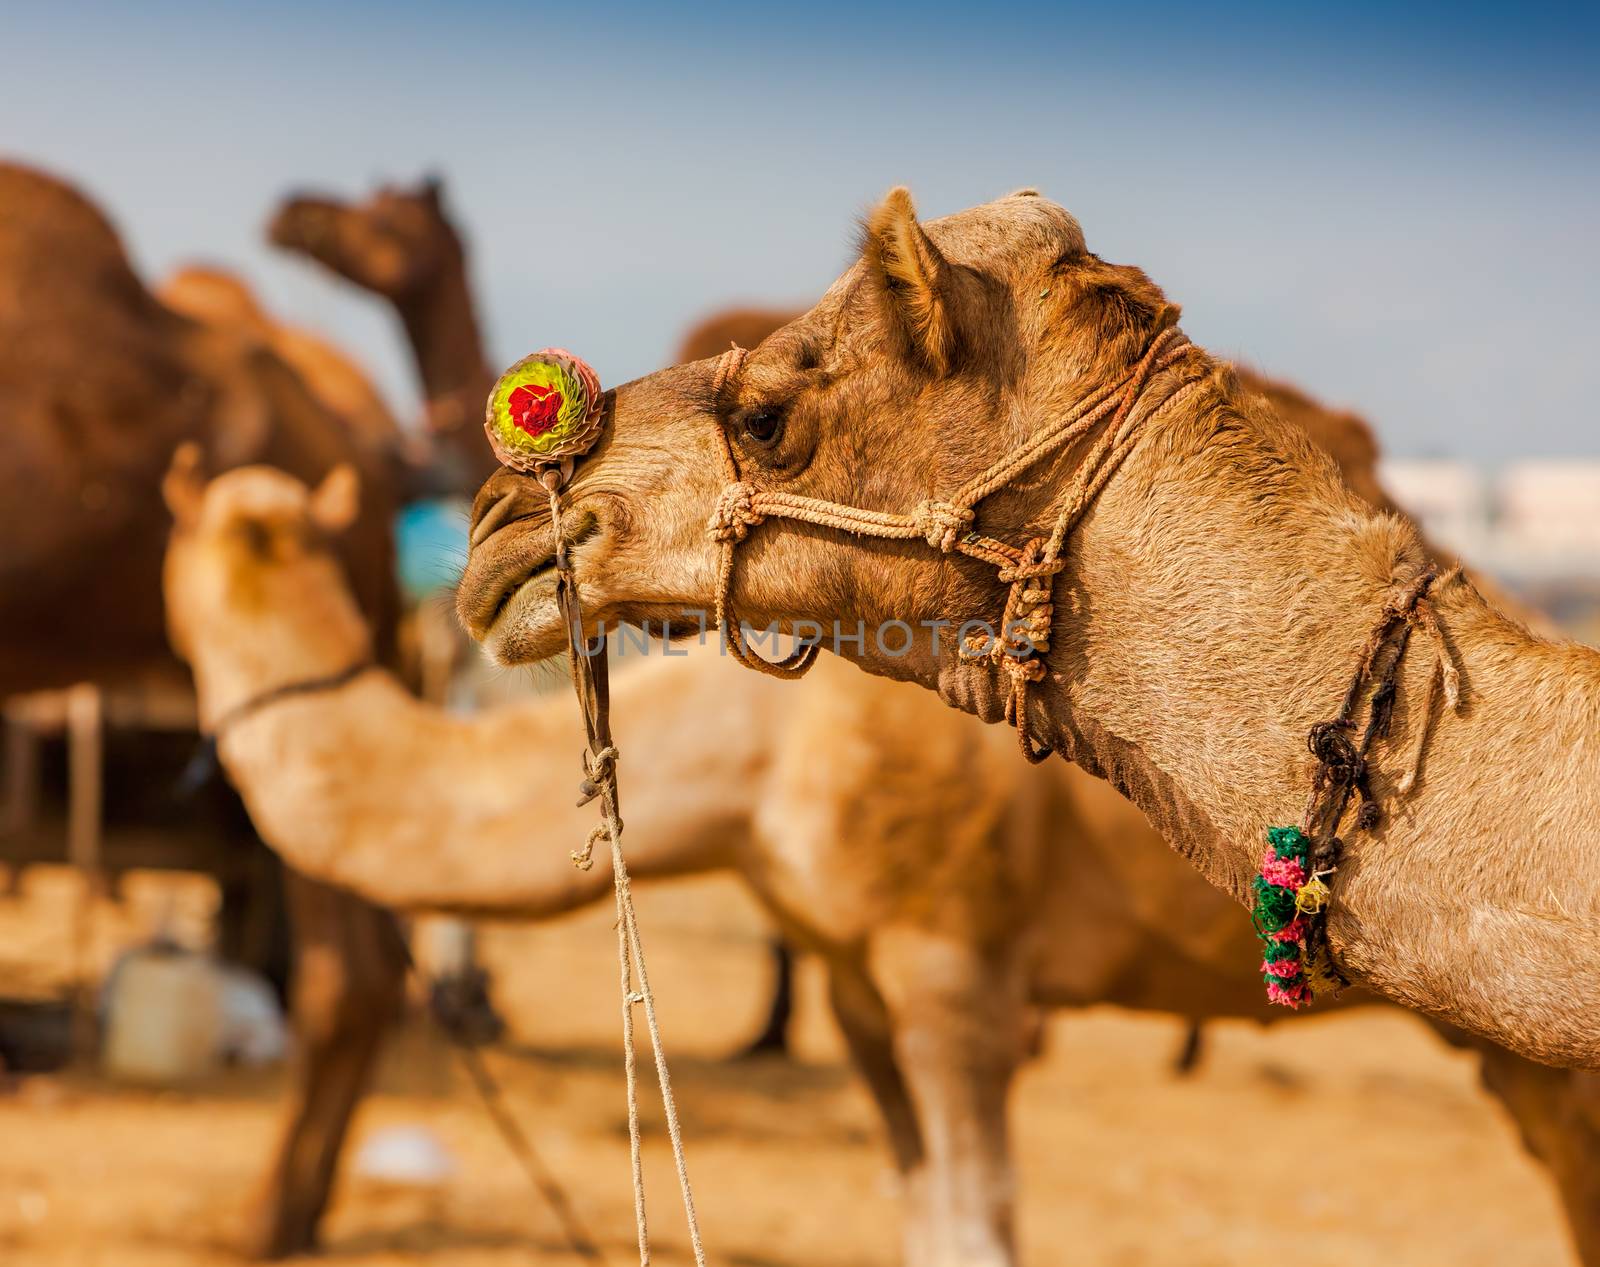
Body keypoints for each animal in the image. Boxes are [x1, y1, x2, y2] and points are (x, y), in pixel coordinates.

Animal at [162, 454, 1600, 1267]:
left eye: (223, 541)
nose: (491, 538)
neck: (765, 741)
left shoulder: (951, 958)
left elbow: (976, 1234)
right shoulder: (854, 979)